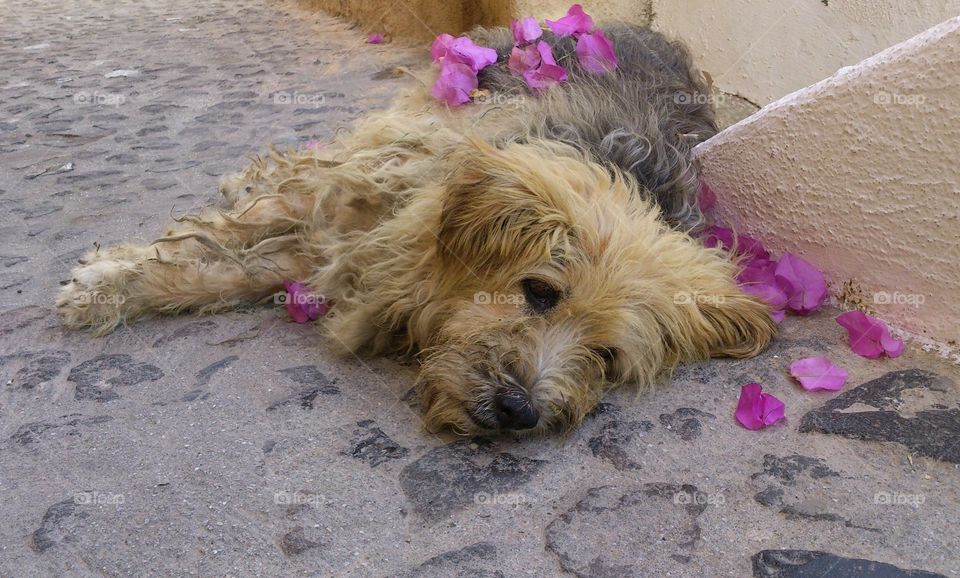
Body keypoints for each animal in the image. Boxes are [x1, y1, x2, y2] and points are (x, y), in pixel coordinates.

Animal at [56, 24, 776, 434]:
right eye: (540, 291)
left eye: (607, 357)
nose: (520, 414)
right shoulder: (357, 197)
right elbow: (230, 237)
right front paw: (106, 282)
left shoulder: (341, 251)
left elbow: (227, 272)